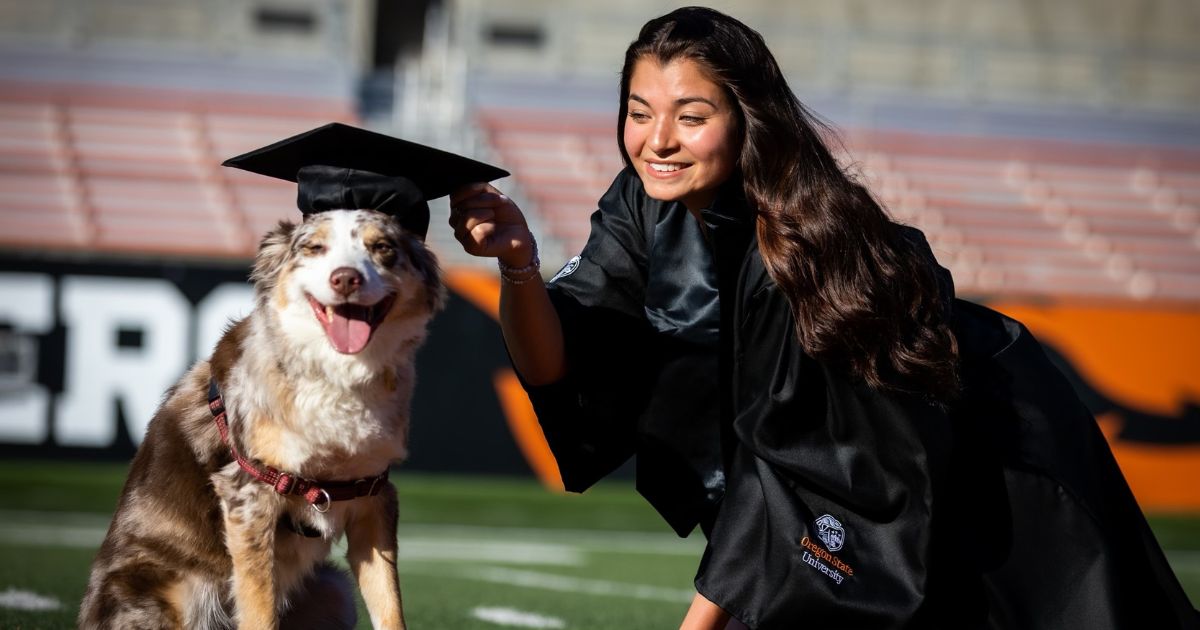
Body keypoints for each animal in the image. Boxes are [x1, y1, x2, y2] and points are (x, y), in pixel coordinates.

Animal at [79, 207, 446, 628]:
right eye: (314, 248)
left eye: (382, 247)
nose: (345, 278)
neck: (336, 374)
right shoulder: (249, 493)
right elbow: (258, 605)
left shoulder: (372, 495)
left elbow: (389, 606)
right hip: (179, 591)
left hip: (333, 589)